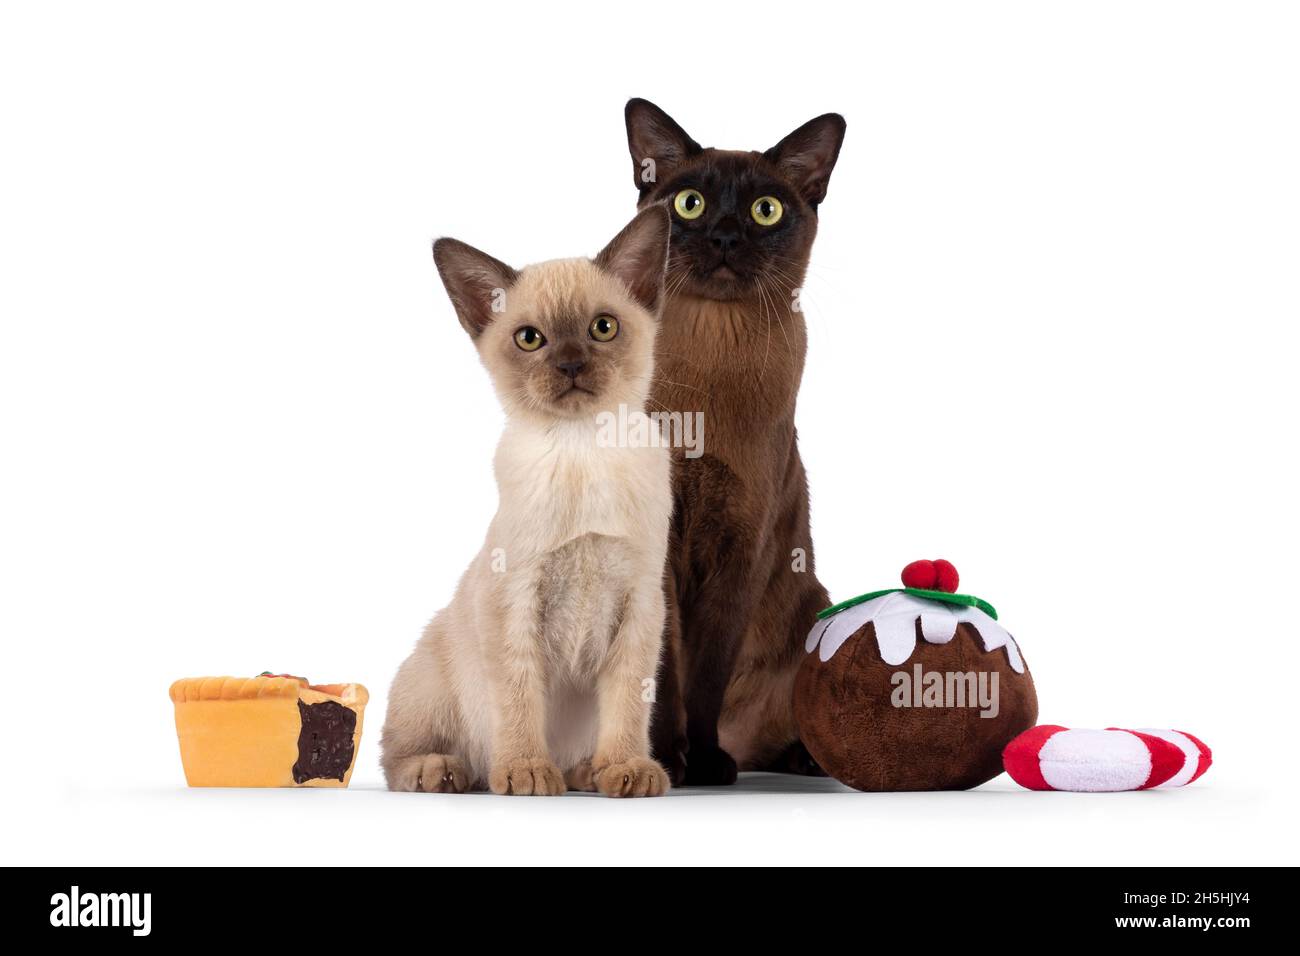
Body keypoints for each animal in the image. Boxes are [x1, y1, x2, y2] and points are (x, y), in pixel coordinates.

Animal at [379, 209, 676, 801]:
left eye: (602, 328)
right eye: (530, 339)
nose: (570, 366)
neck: (583, 447)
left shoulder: (640, 603)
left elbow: (628, 703)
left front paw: (627, 768)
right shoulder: (513, 598)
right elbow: (518, 698)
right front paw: (524, 772)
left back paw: (587, 771)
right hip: (430, 680)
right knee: (397, 756)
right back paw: (447, 771)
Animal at [624, 97, 847, 785]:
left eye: (764, 210)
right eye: (689, 203)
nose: (724, 237)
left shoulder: (740, 544)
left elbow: (707, 675)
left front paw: (703, 763)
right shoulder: (664, 547)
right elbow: (669, 673)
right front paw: (670, 760)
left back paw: (789, 760)